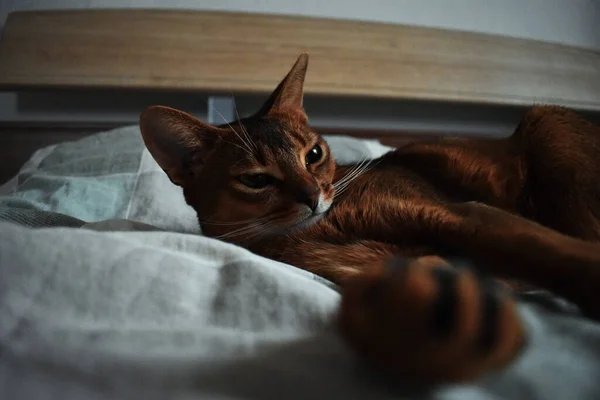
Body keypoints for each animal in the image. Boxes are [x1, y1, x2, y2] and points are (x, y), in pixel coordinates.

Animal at [138, 52, 600, 382]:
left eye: (314, 154)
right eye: (255, 179)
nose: (313, 197)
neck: (318, 230)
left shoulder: (458, 214)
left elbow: (544, 249)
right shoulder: (387, 262)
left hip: (546, 120)